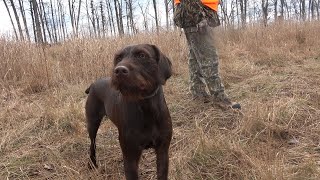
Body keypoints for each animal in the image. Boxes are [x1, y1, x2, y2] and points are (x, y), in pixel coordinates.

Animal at [84, 44, 171, 180]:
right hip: (92, 123)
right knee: (92, 144)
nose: (119, 70)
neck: (146, 109)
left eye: (142, 55)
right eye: (118, 58)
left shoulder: (163, 150)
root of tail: (93, 84)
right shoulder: (131, 157)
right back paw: (92, 163)